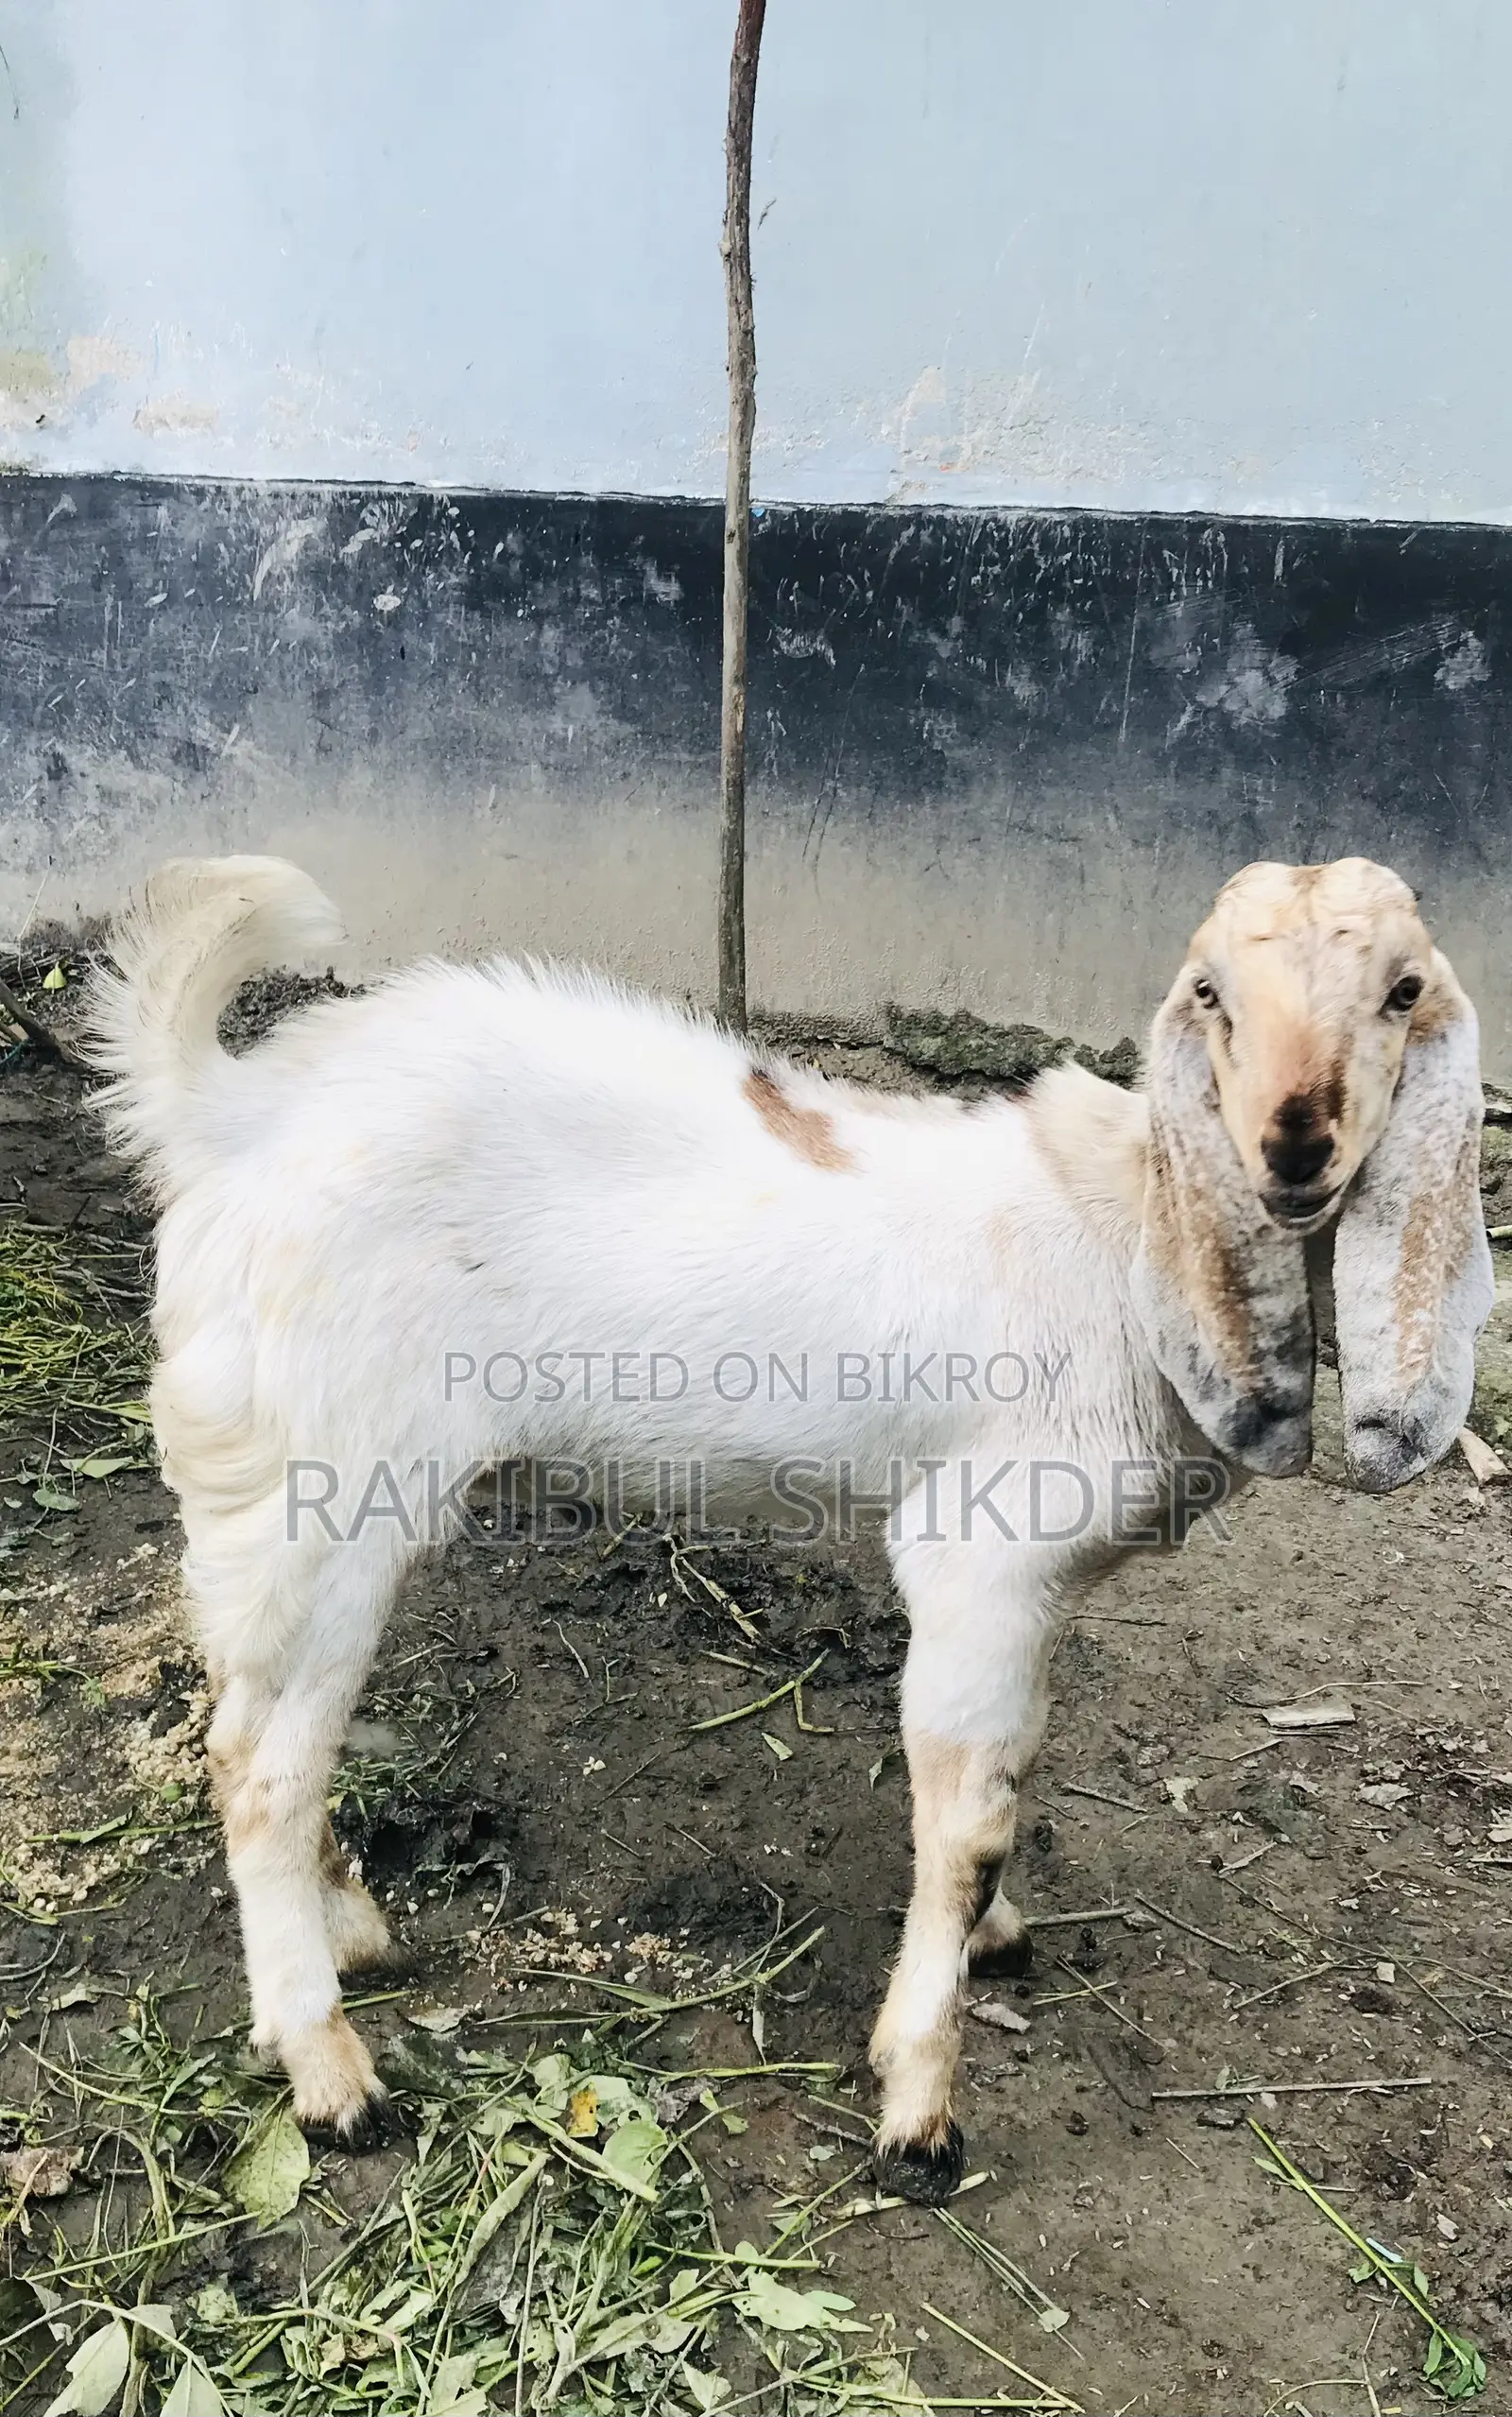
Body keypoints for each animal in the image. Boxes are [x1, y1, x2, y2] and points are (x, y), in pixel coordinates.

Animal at [84, 853, 1491, 2204]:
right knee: (260, 1769)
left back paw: (354, 1929)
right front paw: (920, 2110)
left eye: (1401, 991)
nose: (1294, 1147)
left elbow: (1012, 1769)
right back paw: (329, 2070)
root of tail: (231, 1114)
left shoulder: (1038, 1591)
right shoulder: (982, 1552)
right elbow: (968, 1821)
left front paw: (994, 1936)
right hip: (331, 1477)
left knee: (245, 1720)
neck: (1118, 1230)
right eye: (1210, 994)